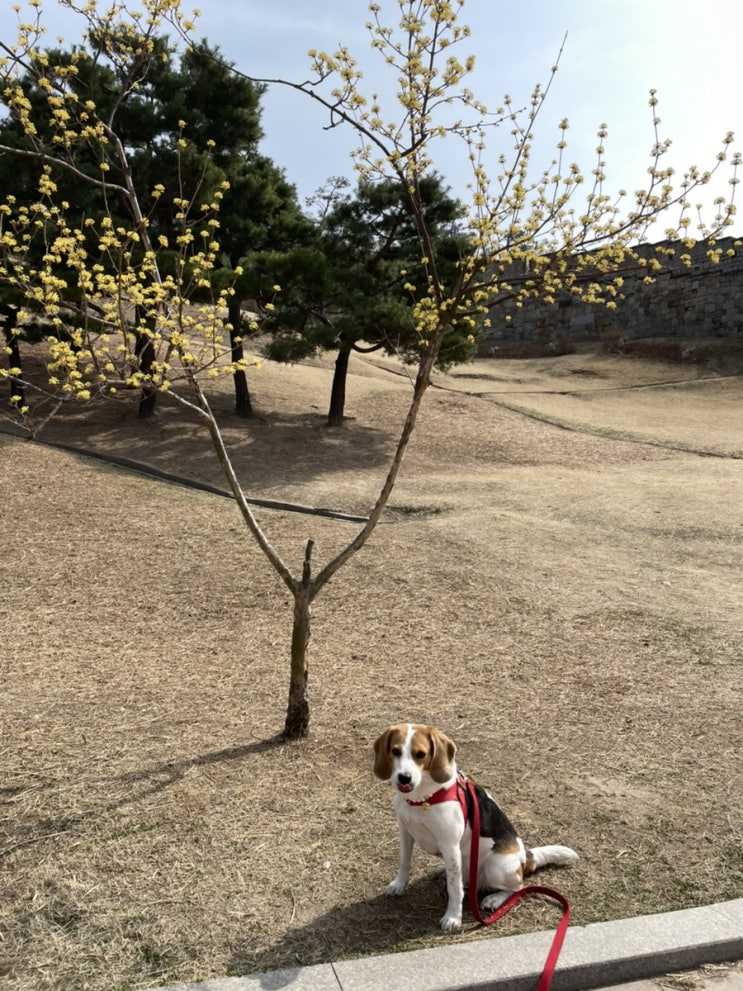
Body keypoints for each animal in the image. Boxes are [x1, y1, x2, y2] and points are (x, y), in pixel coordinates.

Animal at [374, 724, 580, 932]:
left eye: (420, 754)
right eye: (395, 751)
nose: (404, 778)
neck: (422, 798)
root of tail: (524, 857)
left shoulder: (450, 845)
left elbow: (454, 888)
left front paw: (453, 917)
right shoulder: (405, 832)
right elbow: (405, 862)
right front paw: (399, 885)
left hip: (496, 867)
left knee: (518, 888)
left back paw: (494, 899)